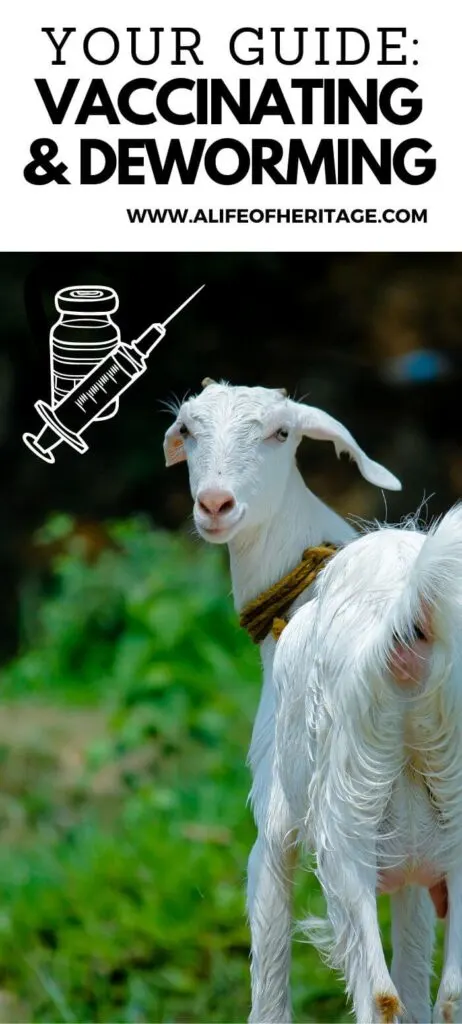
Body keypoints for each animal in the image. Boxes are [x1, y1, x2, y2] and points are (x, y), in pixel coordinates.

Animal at [163, 381, 401, 1022]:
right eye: (187, 428)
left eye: (281, 432)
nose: (216, 504)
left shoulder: (276, 818)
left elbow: (268, 989)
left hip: (343, 811)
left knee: (379, 994)